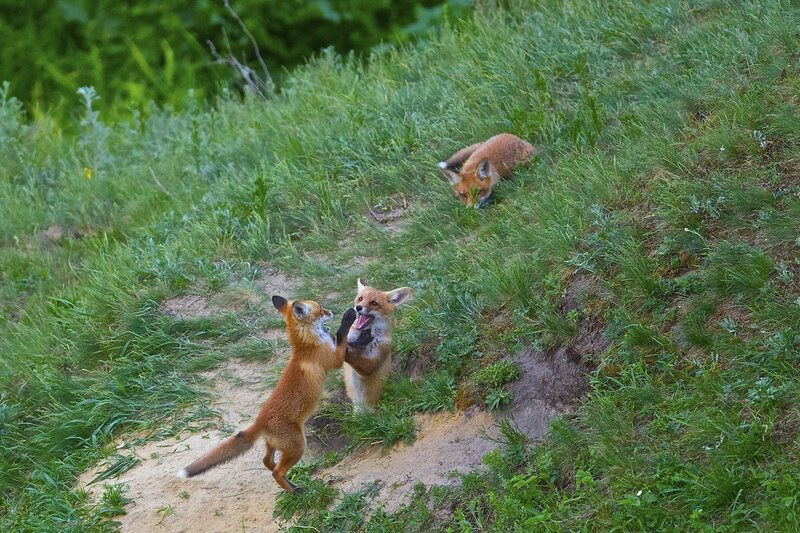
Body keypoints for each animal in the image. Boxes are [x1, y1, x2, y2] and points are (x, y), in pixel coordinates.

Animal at [176, 296, 356, 493]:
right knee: (276, 472)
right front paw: (348, 317)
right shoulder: (334, 359)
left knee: (267, 462)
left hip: (276, 446)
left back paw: (292, 484)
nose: (330, 311)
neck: (305, 345)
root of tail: (260, 422)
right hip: (298, 447)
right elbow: (341, 335)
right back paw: (295, 491)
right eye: (320, 309)